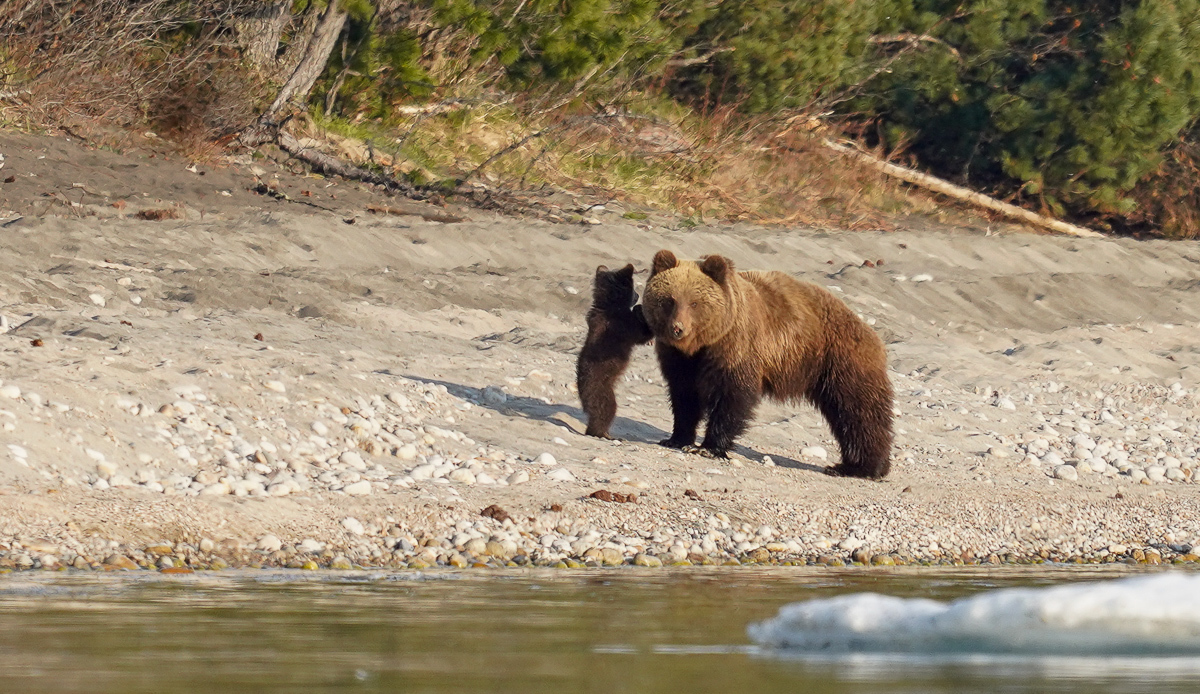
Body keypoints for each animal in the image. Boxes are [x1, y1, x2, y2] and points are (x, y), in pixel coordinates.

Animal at [648, 249, 892, 480]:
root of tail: (869, 329)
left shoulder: (736, 348)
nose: (678, 328)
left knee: (858, 411)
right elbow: (684, 396)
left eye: (695, 303)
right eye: (669, 300)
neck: (701, 346)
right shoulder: (679, 360)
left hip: (840, 360)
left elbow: (731, 397)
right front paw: (676, 438)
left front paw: (709, 447)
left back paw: (861, 467)